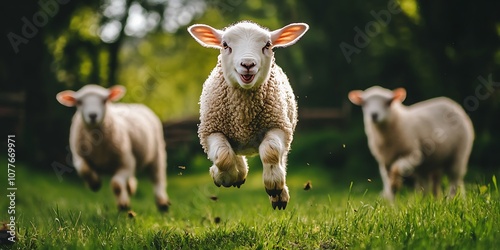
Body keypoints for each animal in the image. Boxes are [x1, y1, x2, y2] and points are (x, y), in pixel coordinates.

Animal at [186, 21, 306, 209]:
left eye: (267, 45)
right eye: (225, 45)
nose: (248, 64)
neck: (244, 115)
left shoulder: (278, 126)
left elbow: (271, 151)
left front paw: (274, 185)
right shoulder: (210, 131)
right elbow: (223, 157)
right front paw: (222, 176)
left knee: (280, 157)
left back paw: (280, 195)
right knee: (231, 153)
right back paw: (238, 174)